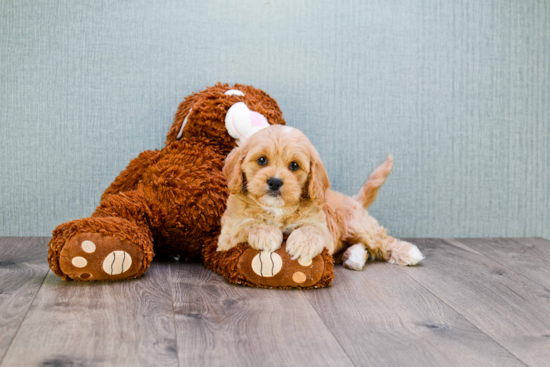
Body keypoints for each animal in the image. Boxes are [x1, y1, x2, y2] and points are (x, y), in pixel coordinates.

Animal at [218, 126, 424, 270]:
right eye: (261, 160)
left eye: (294, 165)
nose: (275, 182)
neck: (277, 209)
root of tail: (355, 200)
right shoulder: (227, 233)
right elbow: (247, 223)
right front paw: (267, 233)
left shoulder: (322, 227)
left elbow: (312, 229)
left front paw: (303, 244)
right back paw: (354, 256)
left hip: (356, 224)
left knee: (380, 239)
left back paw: (407, 252)